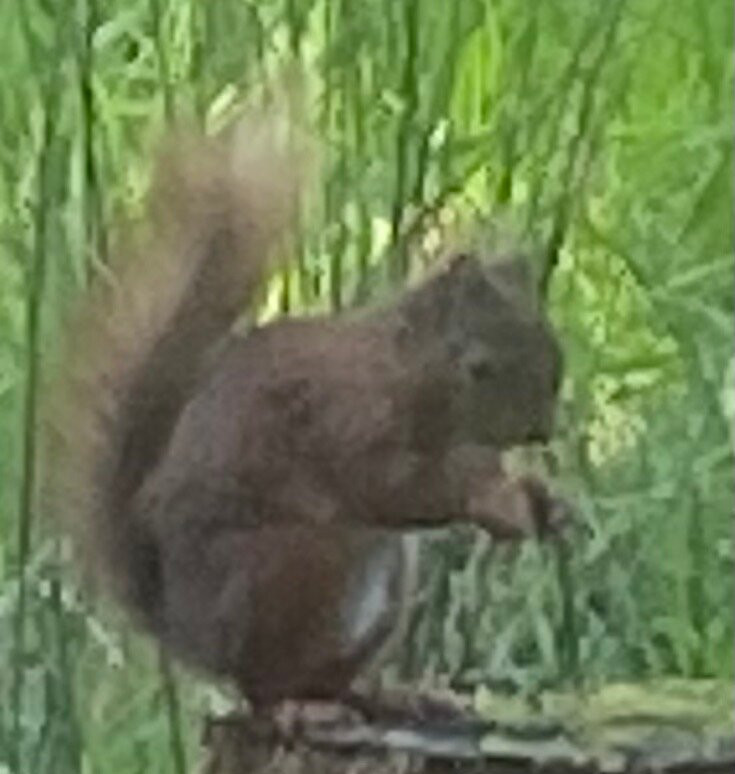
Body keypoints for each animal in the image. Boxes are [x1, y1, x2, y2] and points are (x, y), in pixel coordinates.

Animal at [43, 113, 566, 713]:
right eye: (479, 367)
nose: (541, 430)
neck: (401, 370)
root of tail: (189, 633)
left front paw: (542, 503)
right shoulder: (345, 415)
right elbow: (390, 485)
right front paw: (486, 495)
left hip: (387, 584)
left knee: (323, 677)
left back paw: (385, 695)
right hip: (300, 565)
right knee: (267, 684)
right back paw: (296, 705)